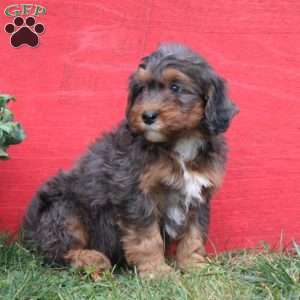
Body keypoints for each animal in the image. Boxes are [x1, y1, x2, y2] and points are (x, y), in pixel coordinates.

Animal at [21, 43, 239, 278]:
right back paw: (92, 260)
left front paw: (195, 267)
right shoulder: (134, 193)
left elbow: (194, 235)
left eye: (176, 87)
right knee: (59, 251)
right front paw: (157, 273)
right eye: (141, 89)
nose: (148, 116)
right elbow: (147, 238)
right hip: (64, 209)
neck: (179, 143)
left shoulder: (199, 195)